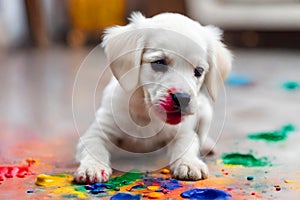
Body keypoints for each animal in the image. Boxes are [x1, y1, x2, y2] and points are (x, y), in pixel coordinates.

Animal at [74, 12, 232, 184]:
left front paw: (189, 163)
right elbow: (94, 147)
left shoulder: (183, 132)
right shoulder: (98, 130)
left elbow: (186, 146)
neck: (146, 114)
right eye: (159, 62)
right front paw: (92, 166)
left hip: (205, 111)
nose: (182, 98)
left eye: (199, 71)